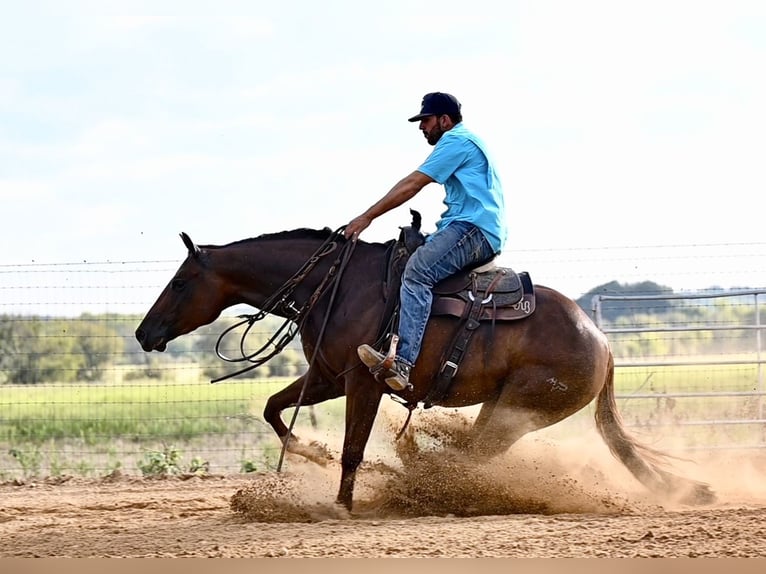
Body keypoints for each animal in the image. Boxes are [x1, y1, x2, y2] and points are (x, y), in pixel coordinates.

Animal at [136, 223, 712, 510]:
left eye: (181, 282)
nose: (144, 333)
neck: (338, 287)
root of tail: (603, 342)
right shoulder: (328, 377)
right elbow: (275, 411)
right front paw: (314, 453)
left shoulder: (364, 381)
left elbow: (353, 448)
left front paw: (342, 503)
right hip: (503, 408)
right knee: (470, 453)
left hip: (520, 409)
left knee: (474, 457)